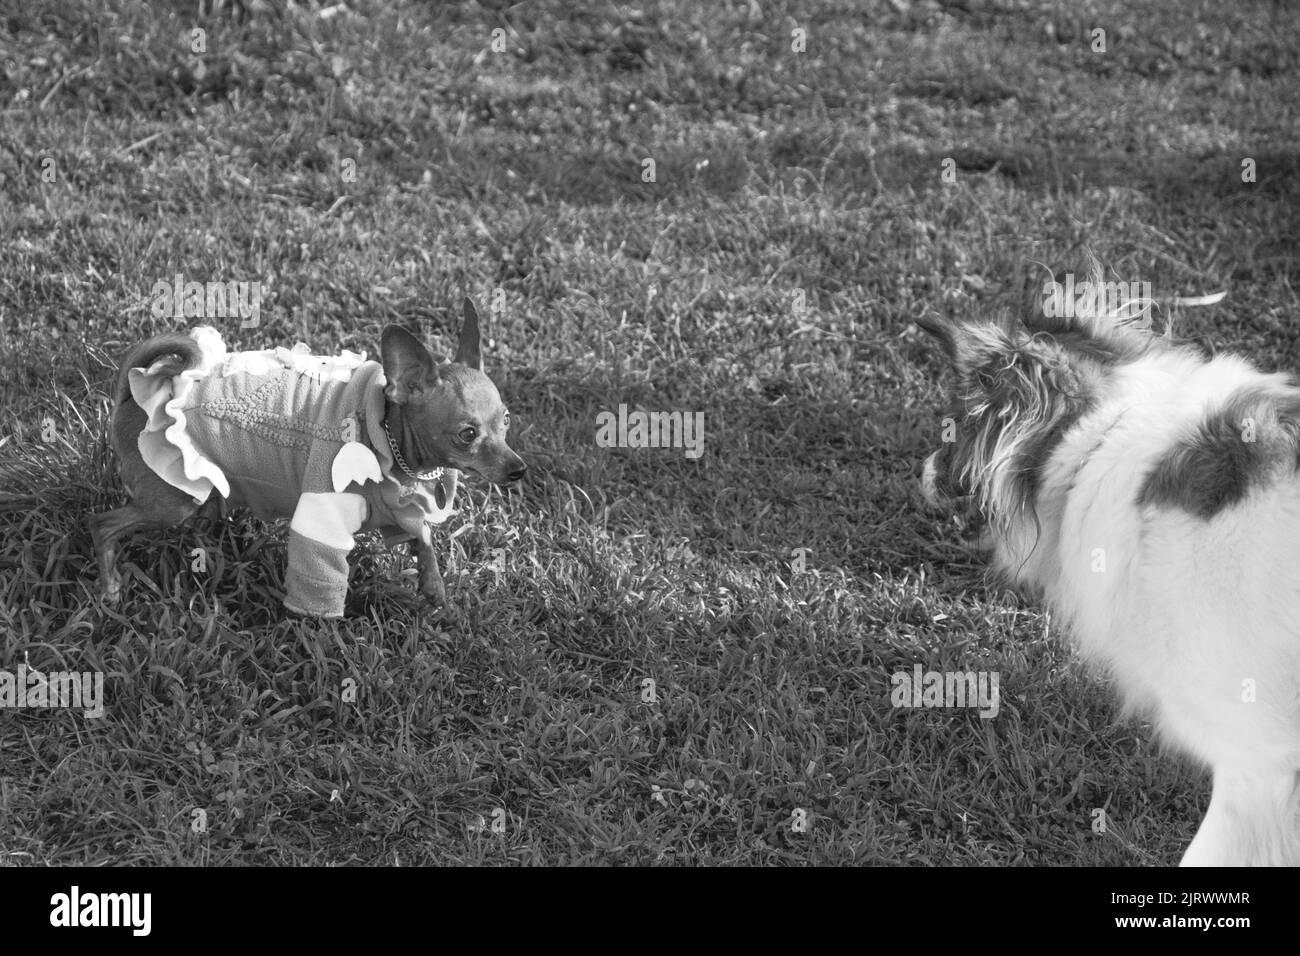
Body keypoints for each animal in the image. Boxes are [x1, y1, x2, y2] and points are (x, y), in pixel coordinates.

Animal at [89, 299, 525, 621]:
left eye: (506, 420)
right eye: (467, 435)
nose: (518, 469)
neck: (386, 432)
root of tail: (131, 398)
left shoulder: (400, 509)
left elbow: (423, 539)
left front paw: (434, 587)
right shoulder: (321, 521)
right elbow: (321, 586)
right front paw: (323, 636)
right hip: (169, 502)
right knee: (104, 525)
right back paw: (109, 587)